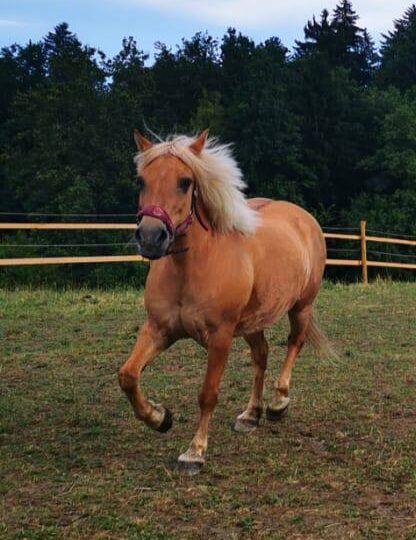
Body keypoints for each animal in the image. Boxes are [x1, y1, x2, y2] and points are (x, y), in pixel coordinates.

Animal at [118, 130, 330, 472]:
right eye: (140, 181)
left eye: (185, 181)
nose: (151, 237)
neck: (192, 268)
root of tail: (303, 217)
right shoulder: (158, 330)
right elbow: (128, 375)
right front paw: (159, 418)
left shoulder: (219, 339)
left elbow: (208, 394)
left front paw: (194, 452)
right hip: (253, 321)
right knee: (261, 355)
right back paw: (251, 415)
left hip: (301, 308)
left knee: (293, 344)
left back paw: (278, 402)